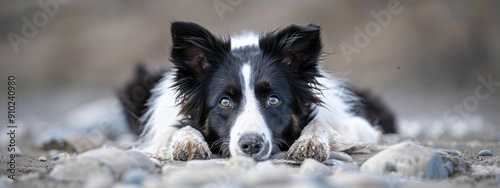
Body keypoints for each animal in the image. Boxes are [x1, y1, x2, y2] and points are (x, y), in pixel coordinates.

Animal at [119, 20, 396, 162]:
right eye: (224, 102)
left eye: (273, 100)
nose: (251, 145)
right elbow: (181, 128)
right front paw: (188, 140)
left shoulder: (359, 126)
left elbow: (321, 124)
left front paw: (310, 141)